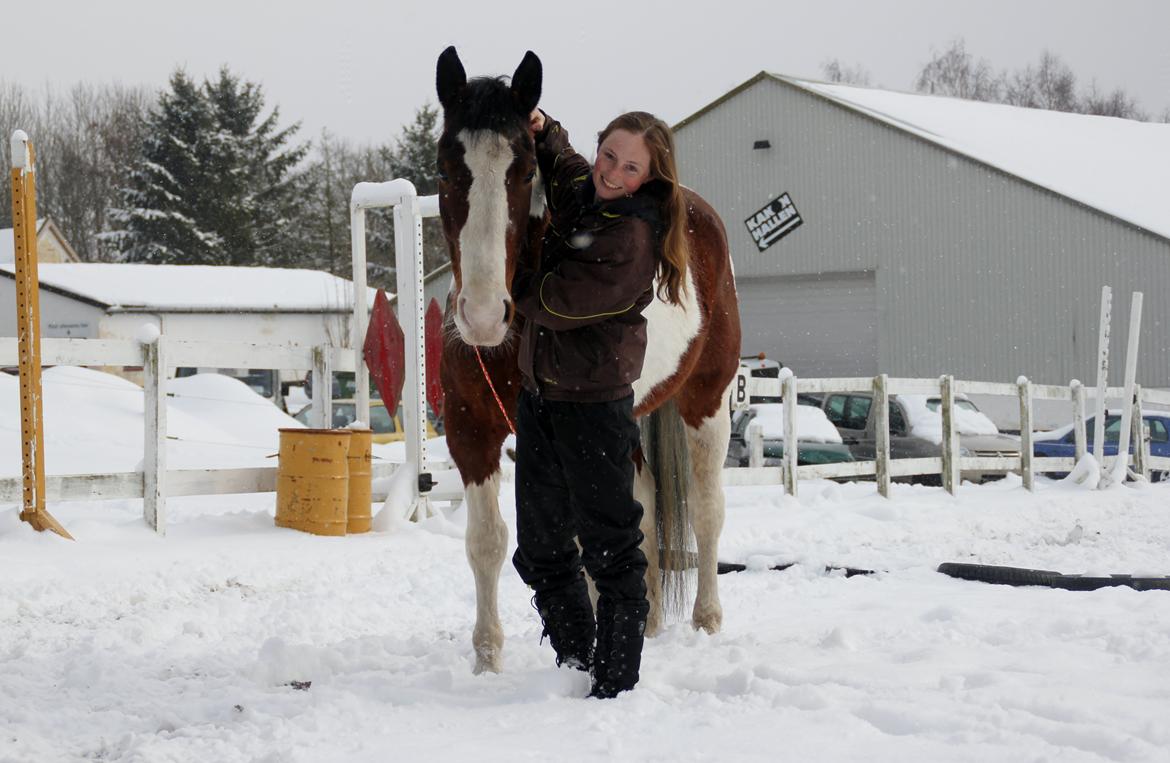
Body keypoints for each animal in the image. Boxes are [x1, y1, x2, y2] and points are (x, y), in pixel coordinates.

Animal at [430, 46, 739, 674]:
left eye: (525, 172)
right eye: (447, 171)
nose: (483, 315)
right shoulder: (471, 430)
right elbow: (487, 542)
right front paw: (487, 660)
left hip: (707, 400)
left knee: (706, 509)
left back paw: (707, 621)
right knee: (643, 505)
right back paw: (648, 621)